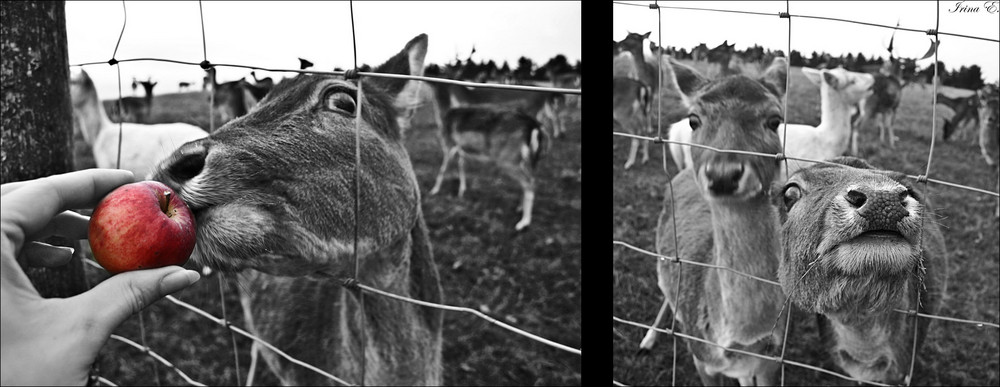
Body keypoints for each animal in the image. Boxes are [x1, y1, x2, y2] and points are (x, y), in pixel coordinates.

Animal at [636, 63, 784, 384]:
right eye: (694, 119)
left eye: (775, 120)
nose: (723, 174)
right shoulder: (701, 358)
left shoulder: (771, 361)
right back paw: (648, 339)